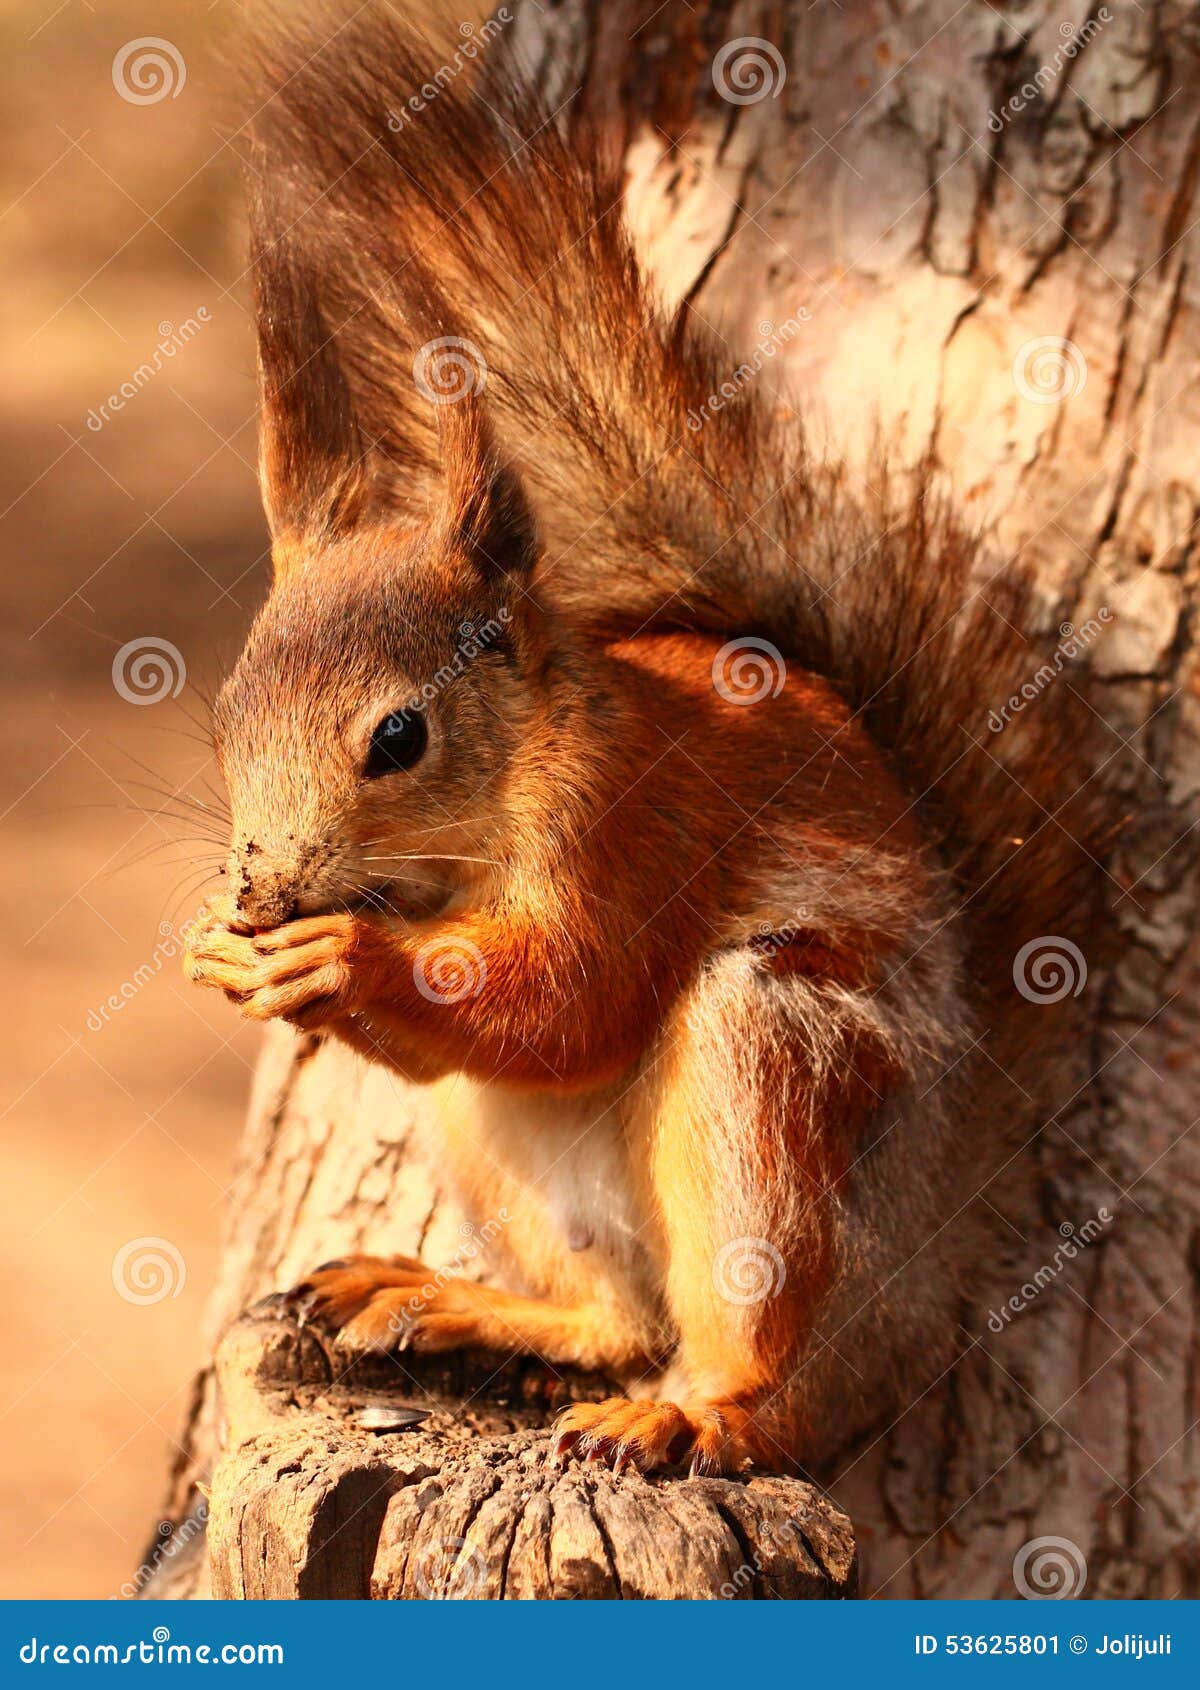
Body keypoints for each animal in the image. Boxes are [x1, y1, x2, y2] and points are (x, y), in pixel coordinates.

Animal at [184, 3, 1112, 1478]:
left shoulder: (631, 821)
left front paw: (343, 960)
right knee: (614, 1312)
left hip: (780, 1073)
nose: (262, 888)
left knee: (756, 1355)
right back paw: (459, 1298)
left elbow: (577, 995)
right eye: (225, 715)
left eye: (398, 735)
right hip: (498, 1145)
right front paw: (221, 950)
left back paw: (698, 1411)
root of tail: (936, 1269)